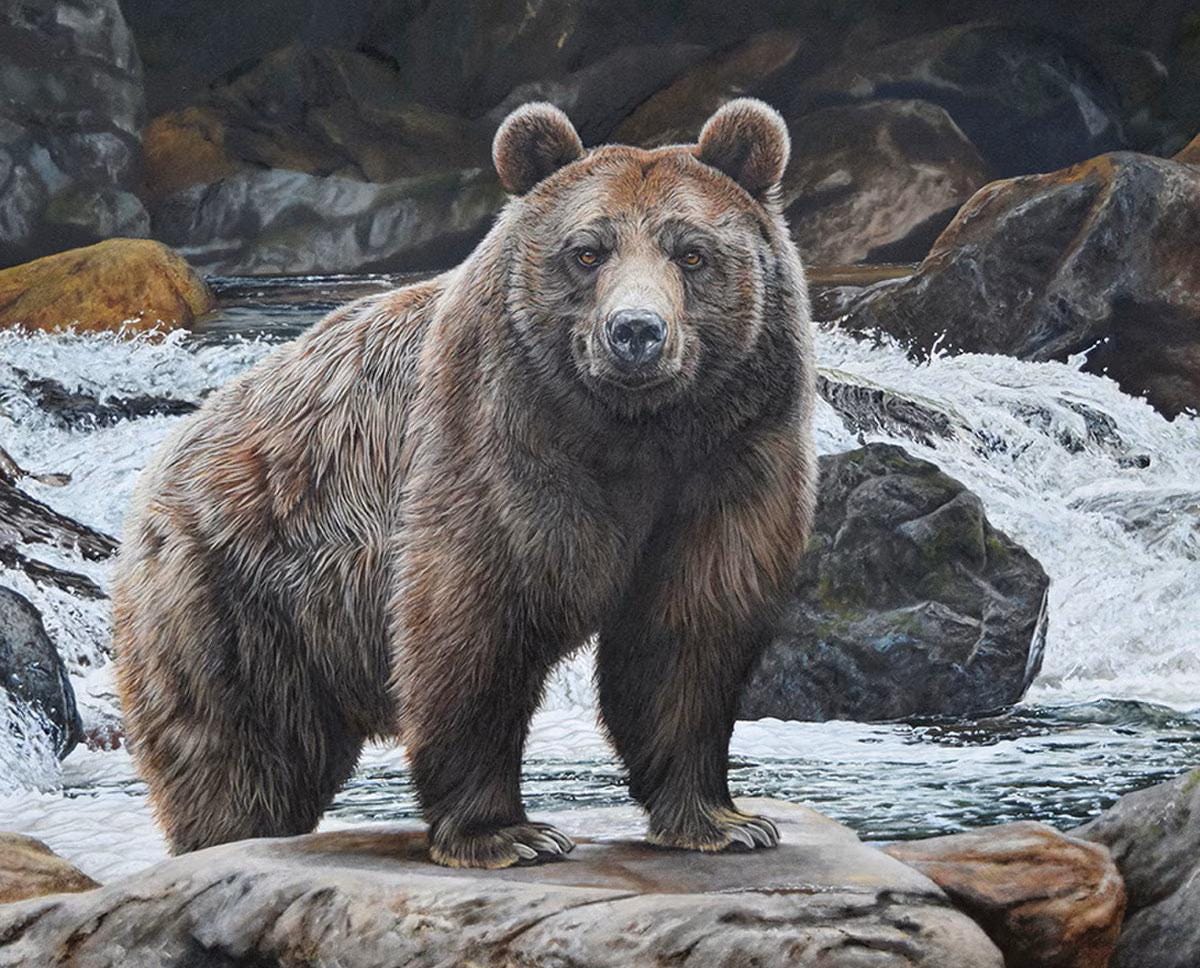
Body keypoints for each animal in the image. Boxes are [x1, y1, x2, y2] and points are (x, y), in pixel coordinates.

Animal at [113, 98, 817, 869]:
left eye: (691, 253)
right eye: (587, 251)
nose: (636, 332)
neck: (636, 432)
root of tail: (165, 462)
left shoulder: (730, 458)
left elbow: (687, 630)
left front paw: (722, 820)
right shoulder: (495, 438)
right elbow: (474, 620)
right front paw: (508, 834)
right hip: (235, 594)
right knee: (239, 751)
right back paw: (228, 837)